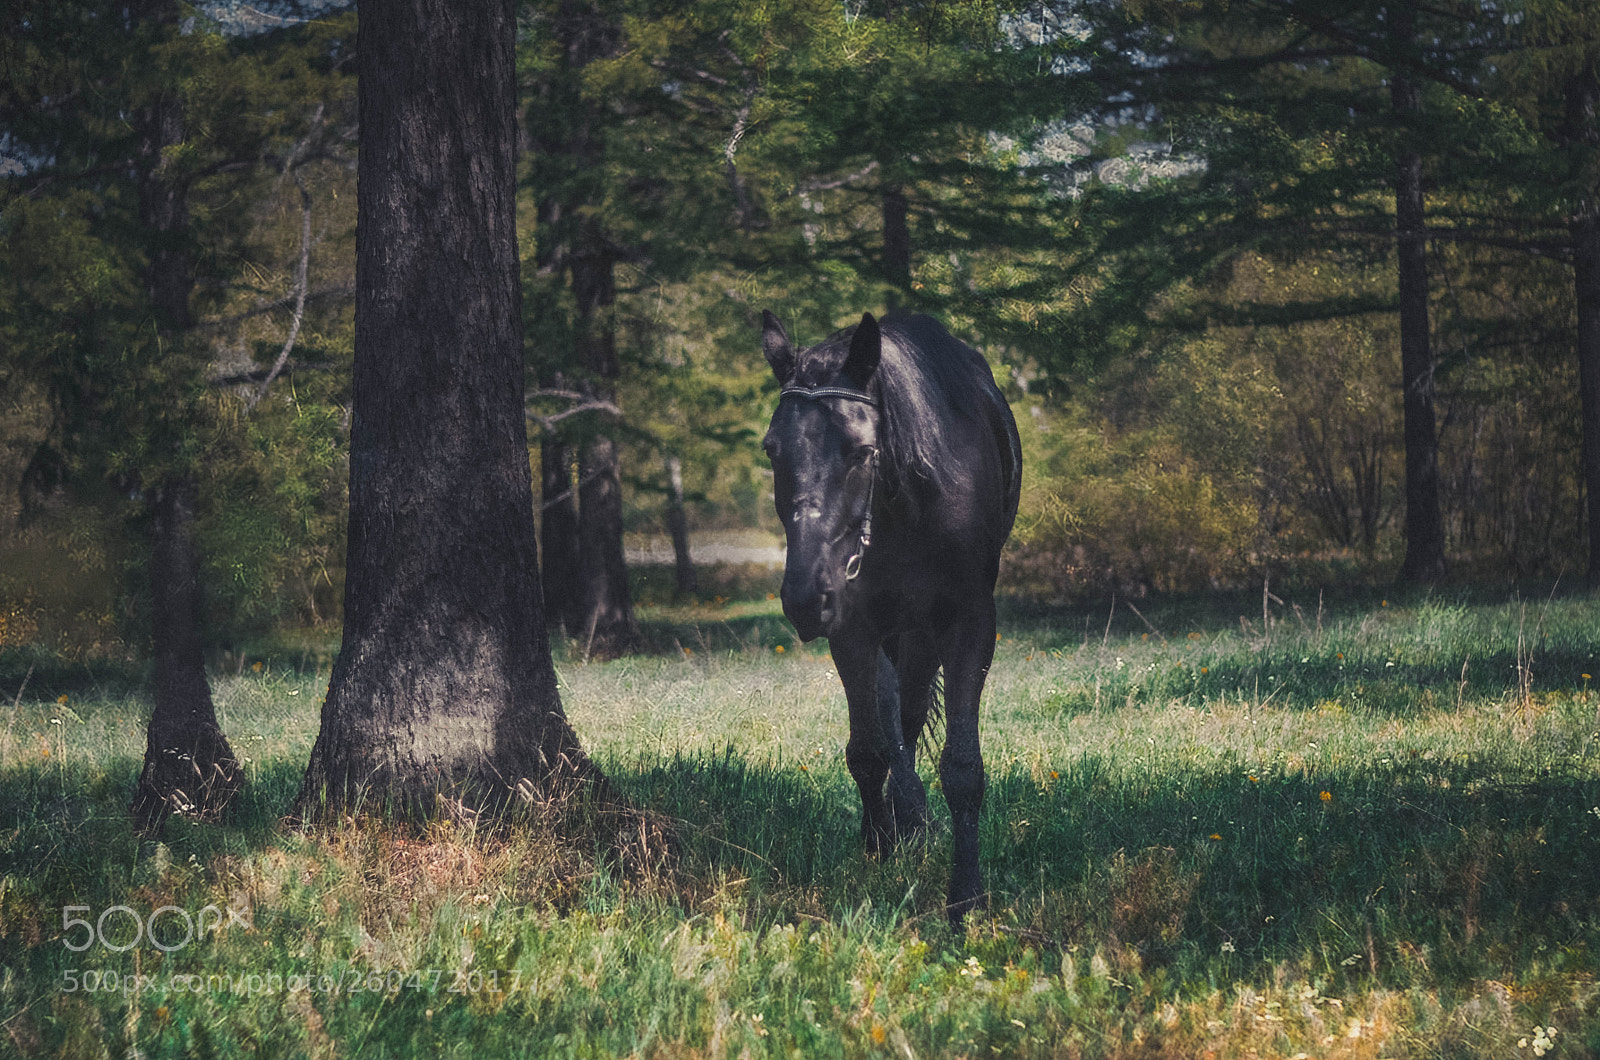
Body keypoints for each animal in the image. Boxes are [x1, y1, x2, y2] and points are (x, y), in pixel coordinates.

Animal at [760, 309, 1021, 923]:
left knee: (910, 710)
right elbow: (869, 750)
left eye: (860, 450)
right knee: (892, 716)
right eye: (772, 450)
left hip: (920, 632)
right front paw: (878, 847)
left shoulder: (969, 625)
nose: (805, 597)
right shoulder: (853, 629)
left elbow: (962, 767)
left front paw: (966, 896)